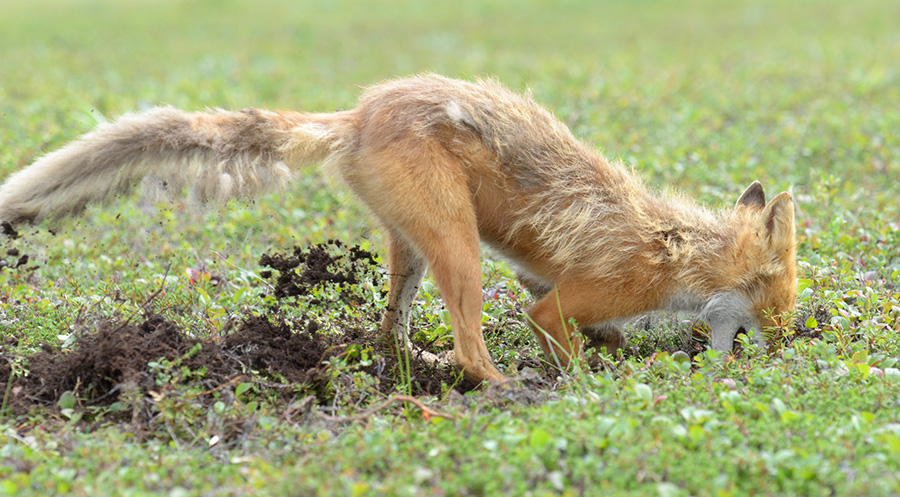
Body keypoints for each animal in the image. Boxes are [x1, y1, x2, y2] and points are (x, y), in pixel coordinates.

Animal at [0, 73, 796, 384]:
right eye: (776, 303)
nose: (795, 345)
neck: (675, 250)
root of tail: (357, 112)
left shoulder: (539, 279)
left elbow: (595, 333)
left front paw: (612, 356)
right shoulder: (569, 299)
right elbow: (562, 338)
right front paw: (579, 384)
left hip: (413, 247)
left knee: (392, 331)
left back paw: (416, 366)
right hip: (458, 246)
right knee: (471, 348)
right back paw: (499, 386)